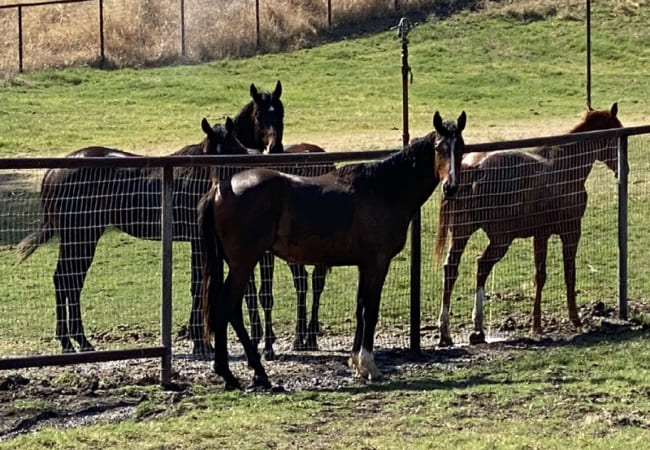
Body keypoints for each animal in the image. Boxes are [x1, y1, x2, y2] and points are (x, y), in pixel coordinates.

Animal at [16, 117, 249, 355]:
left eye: (231, 153)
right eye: (210, 155)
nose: (218, 192)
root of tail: (52, 173)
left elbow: (200, 284)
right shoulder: (198, 241)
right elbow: (199, 286)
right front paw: (201, 344)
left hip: (82, 237)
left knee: (70, 281)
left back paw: (78, 341)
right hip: (80, 236)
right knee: (66, 280)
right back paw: (70, 343)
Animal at [199, 111, 467, 389]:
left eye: (460, 149)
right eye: (439, 148)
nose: (451, 187)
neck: (383, 189)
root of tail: (219, 190)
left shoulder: (364, 264)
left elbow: (360, 308)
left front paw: (357, 363)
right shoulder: (378, 262)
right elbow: (371, 310)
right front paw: (369, 365)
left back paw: (234, 372)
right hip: (244, 263)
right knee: (228, 306)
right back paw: (248, 372)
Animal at [434, 103, 622, 346]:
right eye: (616, 133)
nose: (622, 168)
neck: (567, 164)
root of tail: (473, 169)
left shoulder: (540, 235)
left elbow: (539, 276)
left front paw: (537, 322)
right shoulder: (571, 230)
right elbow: (567, 272)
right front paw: (572, 318)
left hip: (461, 234)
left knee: (451, 270)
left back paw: (445, 332)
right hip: (500, 240)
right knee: (482, 266)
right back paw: (477, 328)